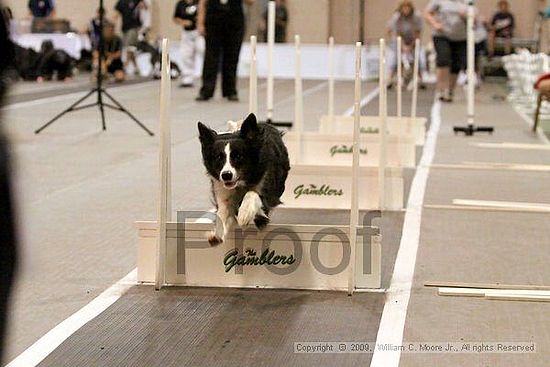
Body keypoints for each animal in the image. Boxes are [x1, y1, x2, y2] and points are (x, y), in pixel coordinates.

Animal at [199, 112, 294, 246]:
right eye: (218, 157)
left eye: (238, 156)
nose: (226, 175)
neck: (242, 182)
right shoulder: (222, 190)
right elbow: (222, 213)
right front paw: (216, 235)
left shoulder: (269, 191)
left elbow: (253, 194)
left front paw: (245, 213)